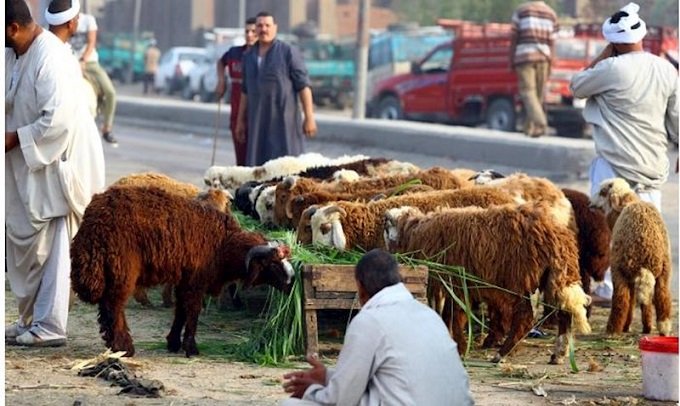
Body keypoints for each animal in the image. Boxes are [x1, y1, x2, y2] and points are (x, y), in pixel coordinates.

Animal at [70, 186, 294, 356]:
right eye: (273, 263)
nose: (291, 282)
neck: (223, 243)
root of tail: (94, 220)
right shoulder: (197, 281)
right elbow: (193, 312)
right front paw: (191, 348)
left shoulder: (185, 280)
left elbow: (180, 311)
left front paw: (173, 343)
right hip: (122, 268)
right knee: (114, 306)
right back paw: (124, 347)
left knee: (106, 308)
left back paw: (113, 344)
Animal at [386, 203, 592, 364]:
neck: (417, 231)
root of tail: (557, 235)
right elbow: (449, 315)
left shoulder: (457, 282)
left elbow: (453, 315)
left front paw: (460, 347)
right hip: (554, 277)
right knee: (564, 313)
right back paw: (558, 354)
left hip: (516, 280)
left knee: (525, 317)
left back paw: (502, 354)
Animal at [588, 179, 676, 334]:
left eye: (603, 192)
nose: (590, 203)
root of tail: (648, 255)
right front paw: (640, 327)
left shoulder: (622, 272)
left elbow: (627, 300)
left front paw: (624, 327)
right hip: (663, 271)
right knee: (661, 296)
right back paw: (661, 327)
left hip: (620, 268)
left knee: (621, 299)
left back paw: (612, 330)